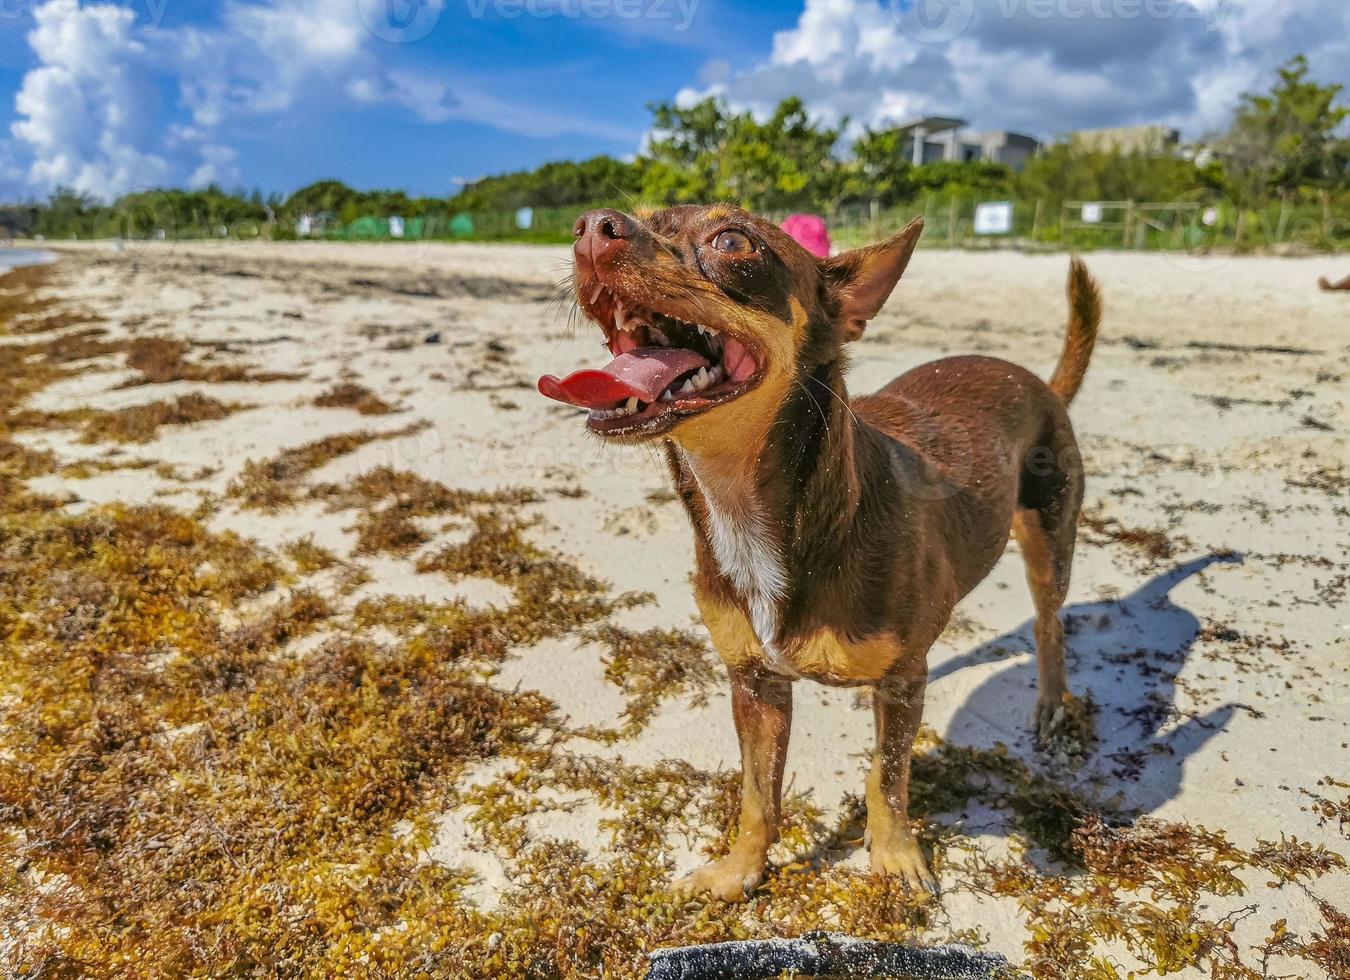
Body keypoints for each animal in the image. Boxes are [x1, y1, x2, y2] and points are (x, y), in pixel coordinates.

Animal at [537, 205, 1096, 907]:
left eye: (733, 241)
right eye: (637, 215)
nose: (592, 227)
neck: (751, 513)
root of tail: (1038, 381)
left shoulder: (900, 684)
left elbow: (886, 781)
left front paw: (895, 858)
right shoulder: (756, 684)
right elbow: (758, 796)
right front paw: (739, 872)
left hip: (1049, 542)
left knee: (1050, 624)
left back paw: (1053, 704)